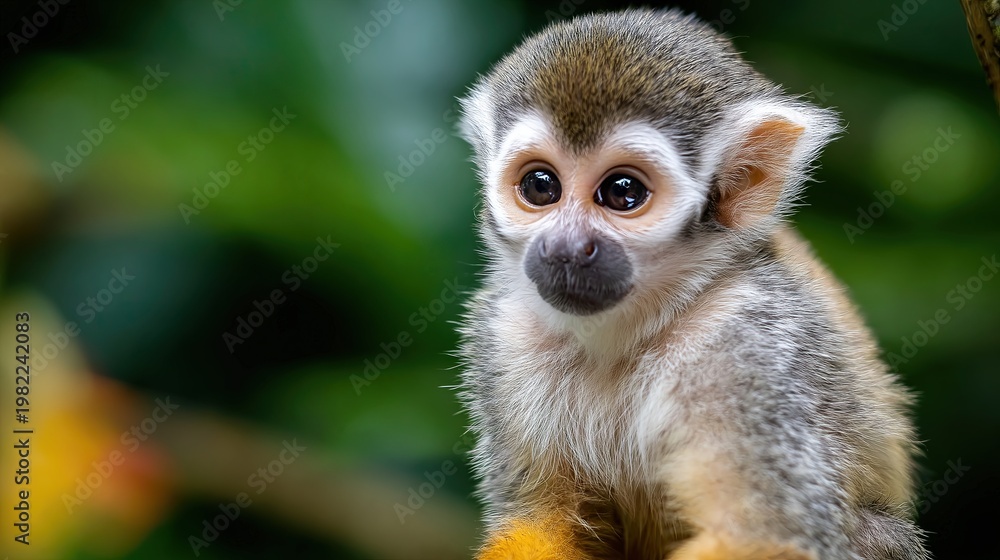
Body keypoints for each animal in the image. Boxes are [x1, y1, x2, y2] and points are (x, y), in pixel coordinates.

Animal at [455, 8, 929, 560]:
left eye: (623, 192)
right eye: (540, 186)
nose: (567, 248)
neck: (627, 332)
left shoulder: (747, 345)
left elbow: (766, 535)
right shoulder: (505, 338)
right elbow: (541, 520)